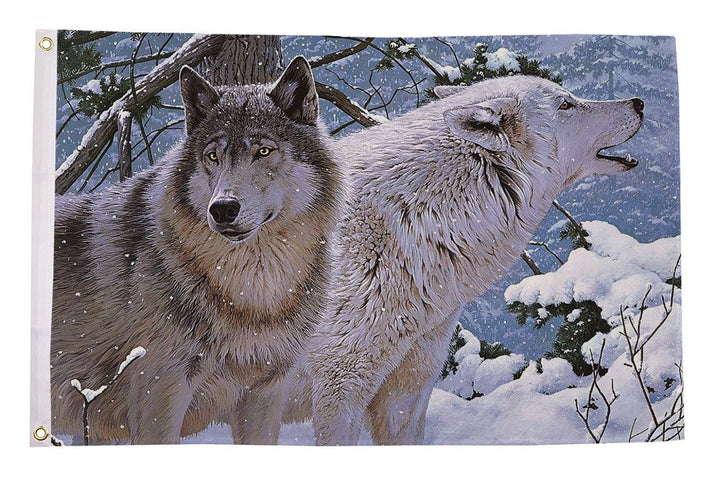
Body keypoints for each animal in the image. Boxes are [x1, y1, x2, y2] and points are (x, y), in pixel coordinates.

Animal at [50, 57, 343, 444]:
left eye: (263, 151)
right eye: (213, 156)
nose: (223, 209)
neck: (253, 294)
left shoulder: (267, 389)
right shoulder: (160, 391)